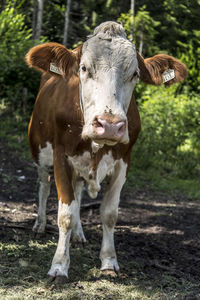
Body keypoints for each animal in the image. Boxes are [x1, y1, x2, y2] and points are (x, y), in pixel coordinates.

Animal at [25, 21, 188, 282]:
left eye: (135, 74)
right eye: (83, 68)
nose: (110, 124)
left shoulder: (123, 162)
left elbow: (109, 214)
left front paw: (109, 261)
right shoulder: (61, 158)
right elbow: (65, 214)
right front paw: (59, 265)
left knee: (78, 193)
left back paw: (79, 235)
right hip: (40, 151)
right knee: (43, 185)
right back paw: (39, 225)